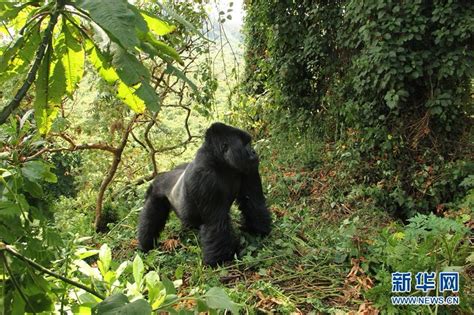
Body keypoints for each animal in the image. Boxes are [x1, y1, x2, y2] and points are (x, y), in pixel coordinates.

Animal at [137, 123, 270, 266]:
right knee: (150, 219)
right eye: (246, 145)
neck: (219, 160)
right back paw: (145, 245)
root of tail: (161, 175)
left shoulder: (248, 168)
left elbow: (253, 202)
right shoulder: (205, 177)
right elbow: (215, 222)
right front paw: (221, 259)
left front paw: (258, 230)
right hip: (155, 191)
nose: (254, 152)